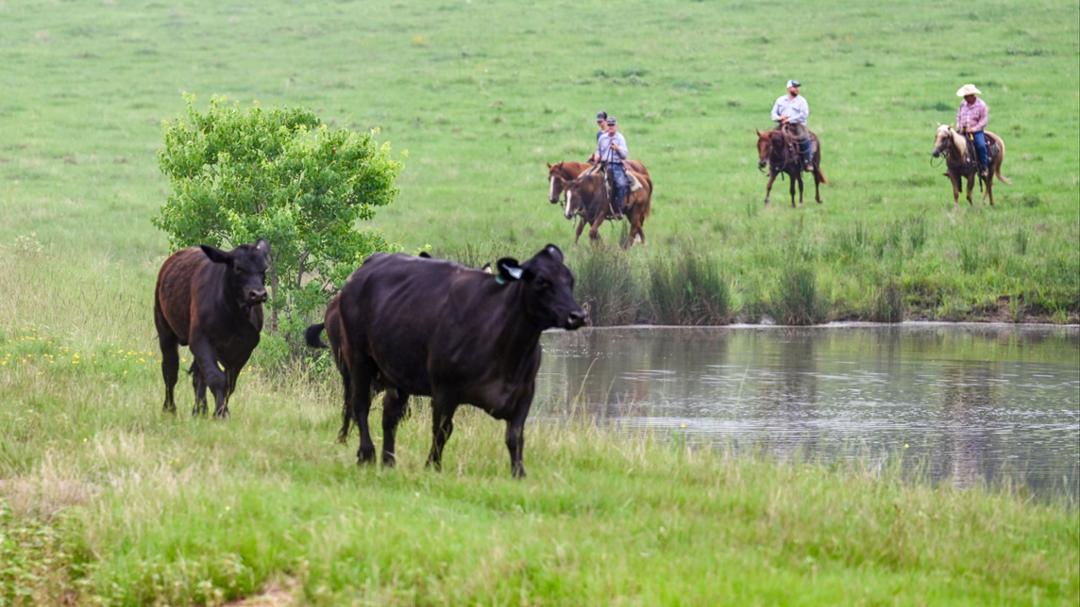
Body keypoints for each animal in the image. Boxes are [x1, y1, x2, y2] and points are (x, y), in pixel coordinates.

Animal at [154, 240, 270, 418]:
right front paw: (221, 413)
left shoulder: (243, 350)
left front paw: (219, 410)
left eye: (264, 269)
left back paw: (199, 410)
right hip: (165, 331)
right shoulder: (200, 341)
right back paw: (169, 408)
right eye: (238, 268)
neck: (233, 316)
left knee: (198, 377)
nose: (258, 294)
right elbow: (216, 378)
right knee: (170, 370)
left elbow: (229, 383)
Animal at [306, 244, 587, 477]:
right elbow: (442, 430)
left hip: (396, 373)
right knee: (359, 405)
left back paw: (389, 461)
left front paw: (519, 473)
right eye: (541, 281)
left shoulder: (525, 393)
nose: (578, 316)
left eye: (570, 280)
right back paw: (366, 454)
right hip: (358, 359)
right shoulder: (444, 390)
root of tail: (365, 267)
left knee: (390, 415)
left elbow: (515, 436)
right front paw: (433, 466)